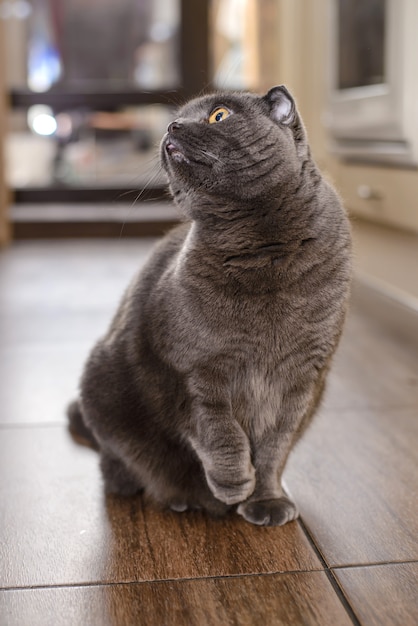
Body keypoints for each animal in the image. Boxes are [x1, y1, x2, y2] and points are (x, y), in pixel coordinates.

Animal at [68, 83, 352, 520]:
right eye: (177, 117)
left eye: (219, 115)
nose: (171, 126)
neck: (260, 249)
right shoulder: (188, 369)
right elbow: (218, 430)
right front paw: (233, 484)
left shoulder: (302, 378)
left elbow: (274, 449)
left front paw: (267, 501)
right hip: (102, 387)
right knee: (115, 463)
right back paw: (177, 497)